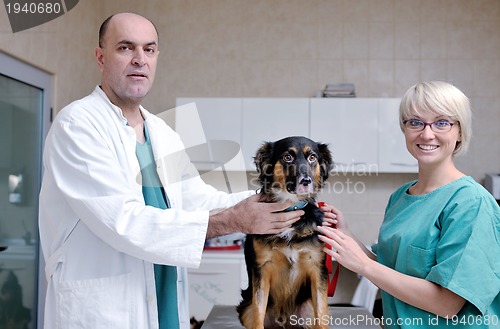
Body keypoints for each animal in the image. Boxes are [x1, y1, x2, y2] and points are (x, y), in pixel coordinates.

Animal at [237, 136, 332, 328]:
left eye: (312, 157)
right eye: (288, 157)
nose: (306, 181)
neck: (290, 207)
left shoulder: (317, 268)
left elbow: (321, 315)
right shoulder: (261, 269)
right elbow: (259, 313)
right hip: (246, 309)